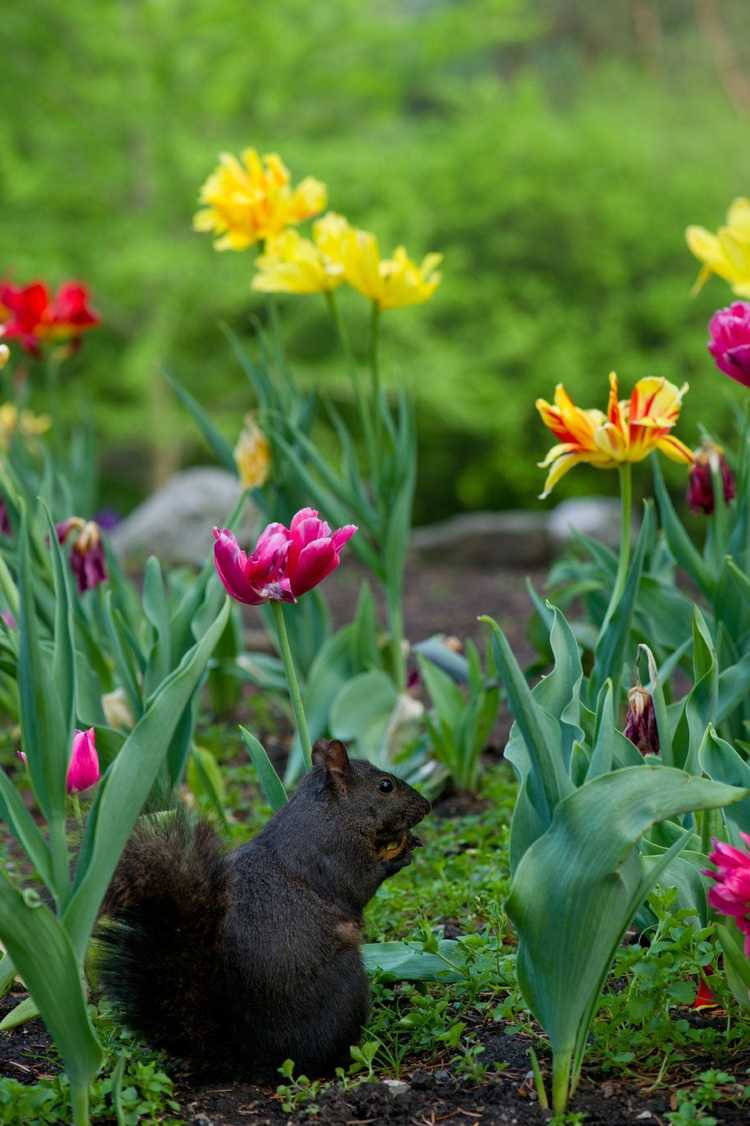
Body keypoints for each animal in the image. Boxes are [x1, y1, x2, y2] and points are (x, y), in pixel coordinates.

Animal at [97, 743, 432, 1076]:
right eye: (385, 786)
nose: (427, 806)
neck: (332, 814)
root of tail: (245, 1058)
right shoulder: (336, 856)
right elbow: (361, 883)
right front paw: (399, 855)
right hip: (346, 988)